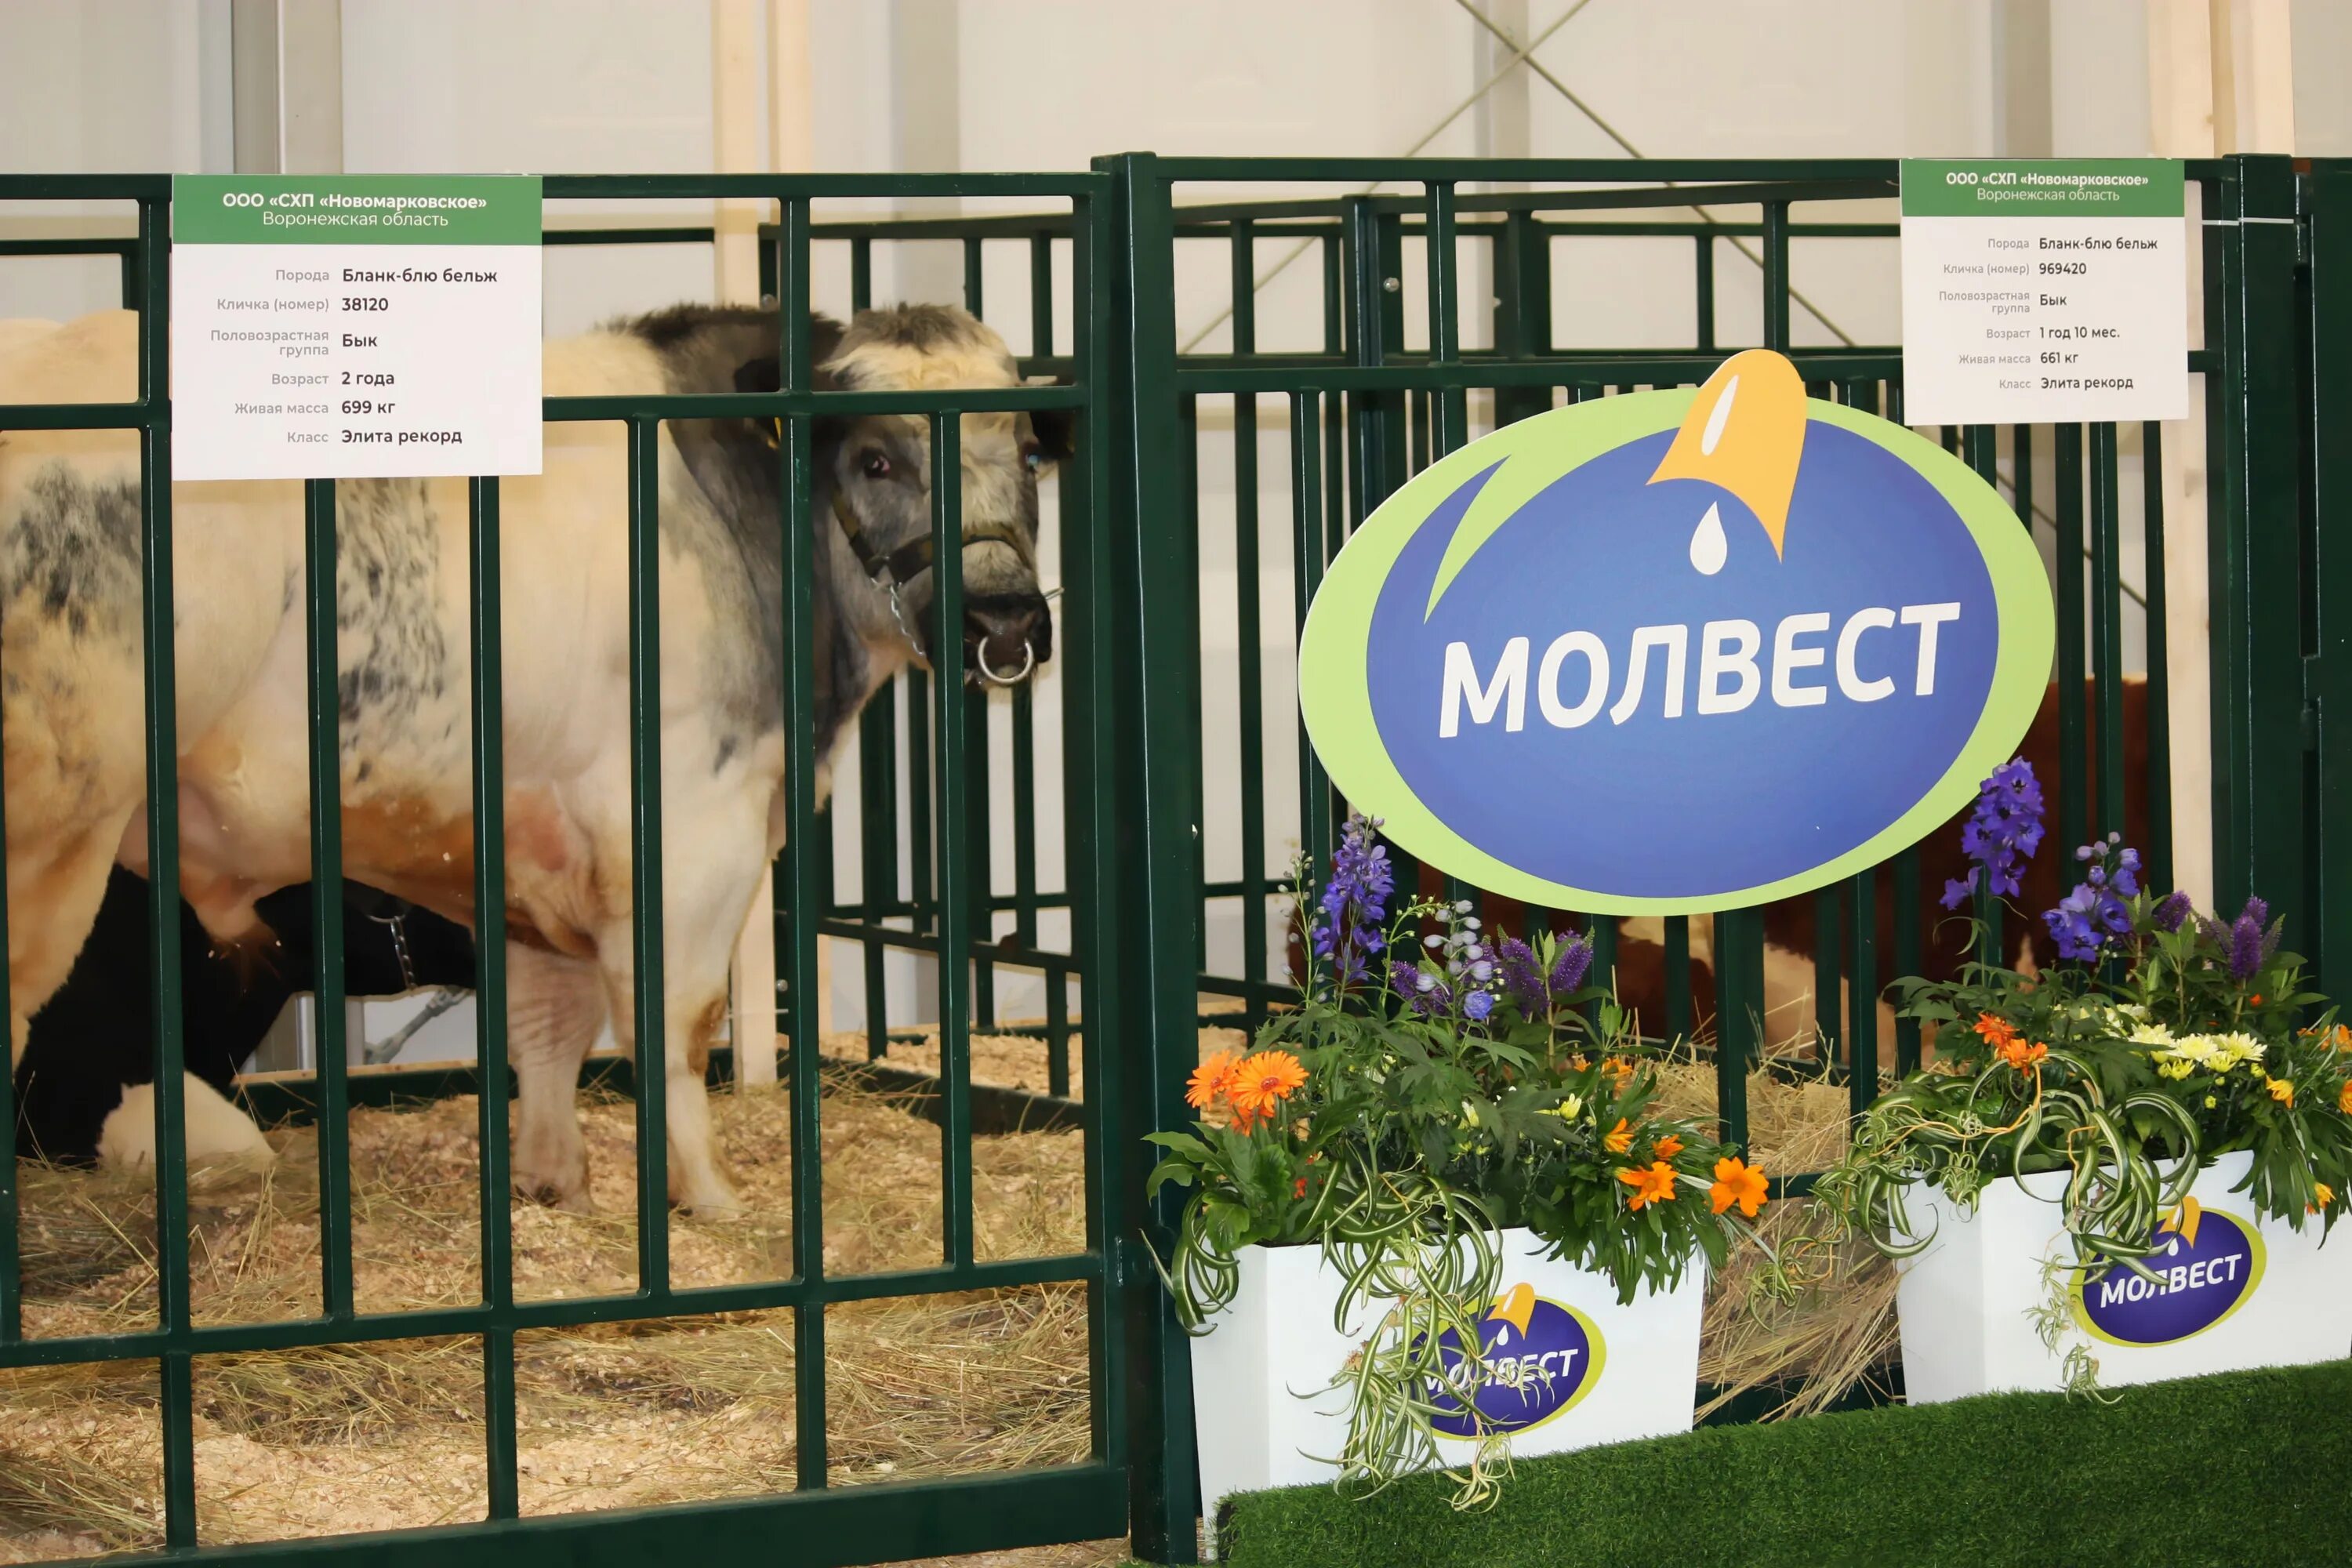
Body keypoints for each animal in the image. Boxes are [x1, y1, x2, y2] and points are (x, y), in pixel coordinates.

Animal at [0, 303, 1068, 1213]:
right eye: (878, 457)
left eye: (1025, 450)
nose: (1005, 620)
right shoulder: (690, 825)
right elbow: (677, 1022)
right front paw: (708, 1198)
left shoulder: (535, 838)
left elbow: (549, 1024)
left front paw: (557, 1185)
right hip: (57, 832)